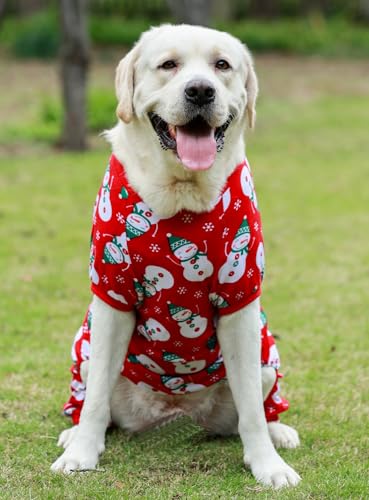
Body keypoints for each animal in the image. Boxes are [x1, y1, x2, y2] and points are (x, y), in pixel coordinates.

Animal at [51, 24, 300, 488]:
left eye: (222, 65)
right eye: (168, 65)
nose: (200, 90)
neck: (182, 194)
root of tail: (174, 414)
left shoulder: (241, 303)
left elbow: (253, 414)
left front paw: (268, 464)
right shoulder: (112, 298)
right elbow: (94, 404)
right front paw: (80, 455)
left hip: (265, 358)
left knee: (261, 405)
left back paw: (280, 430)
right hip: (86, 352)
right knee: (90, 400)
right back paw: (73, 432)